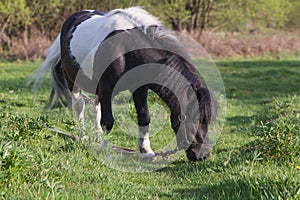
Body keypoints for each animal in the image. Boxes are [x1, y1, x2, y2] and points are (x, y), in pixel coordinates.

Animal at [30, 7, 217, 162]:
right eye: (195, 119)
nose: (203, 155)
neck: (126, 47)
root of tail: (70, 21)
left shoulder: (139, 88)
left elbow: (144, 117)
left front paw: (147, 152)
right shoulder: (106, 88)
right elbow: (108, 122)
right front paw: (106, 152)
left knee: (96, 108)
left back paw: (97, 139)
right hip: (73, 83)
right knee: (79, 106)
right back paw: (83, 138)